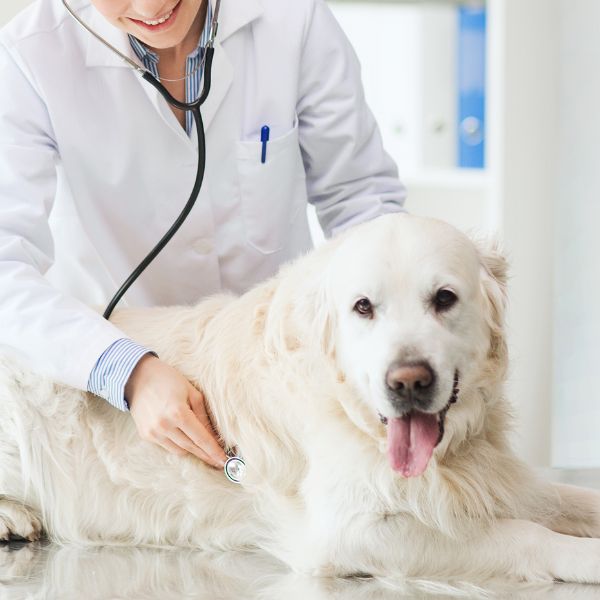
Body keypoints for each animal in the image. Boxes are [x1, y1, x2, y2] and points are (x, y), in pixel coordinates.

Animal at [1, 213, 600, 584]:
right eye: (363, 307)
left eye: (445, 298)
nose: (407, 382)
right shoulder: (350, 531)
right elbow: (524, 535)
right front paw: (583, 557)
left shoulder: (498, 479)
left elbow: (566, 498)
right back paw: (15, 516)